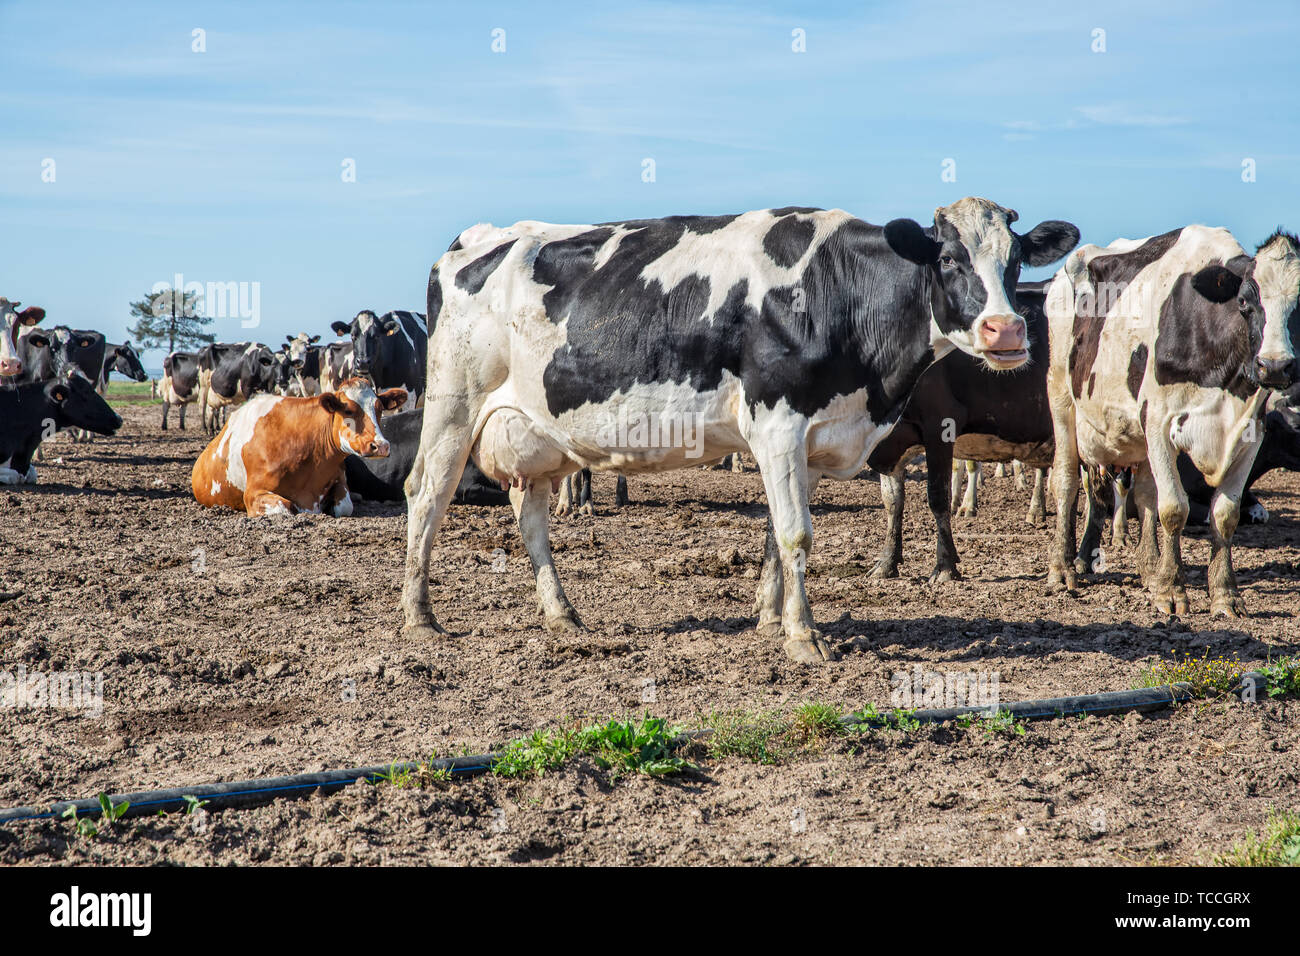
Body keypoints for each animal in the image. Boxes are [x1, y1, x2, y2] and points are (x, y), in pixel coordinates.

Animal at [191, 378, 406, 516]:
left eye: (379, 408)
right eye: (348, 410)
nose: (381, 445)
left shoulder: (339, 481)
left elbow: (345, 506)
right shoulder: (253, 494)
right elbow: (288, 507)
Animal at [1045, 227, 1298, 617]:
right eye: (1245, 302)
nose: (1274, 366)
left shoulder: (1249, 435)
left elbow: (1225, 514)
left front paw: (1224, 595)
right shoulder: (1159, 423)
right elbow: (1174, 509)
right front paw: (1172, 592)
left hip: (1136, 434)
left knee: (1145, 492)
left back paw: (1150, 571)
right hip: (1061, 396)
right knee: (1066, 480)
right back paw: (1062, 568)